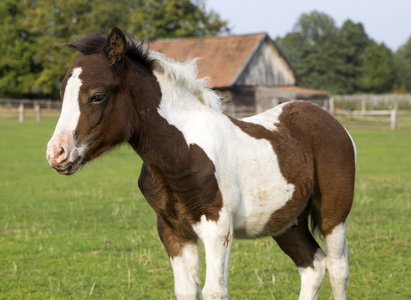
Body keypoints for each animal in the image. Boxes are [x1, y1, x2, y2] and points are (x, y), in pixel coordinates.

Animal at [47, 27, 358, 298]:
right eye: (62, 94)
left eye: (97, 96)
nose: (56, 153)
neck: (181, 153)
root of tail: (330, 119)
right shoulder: (173, 230)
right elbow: (186, 290)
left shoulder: (218, 227)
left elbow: (214, 291)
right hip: (286, 221)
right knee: (313, 267)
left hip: (334, 214)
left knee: (338, 269)